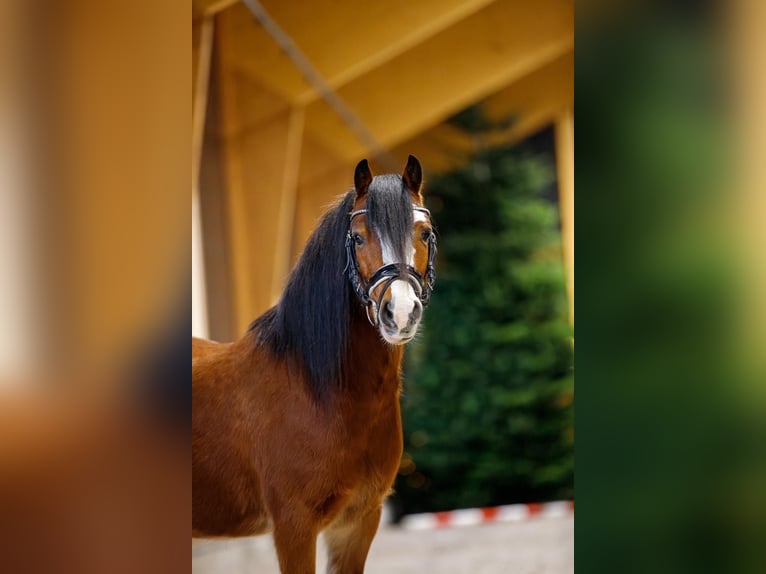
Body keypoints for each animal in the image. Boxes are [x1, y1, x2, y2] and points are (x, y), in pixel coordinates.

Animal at [192, 155, 438, 572]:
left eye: (424, 233)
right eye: (358, 237)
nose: (400, 314)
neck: (317, 392)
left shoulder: (358, 522)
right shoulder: (294, 526)